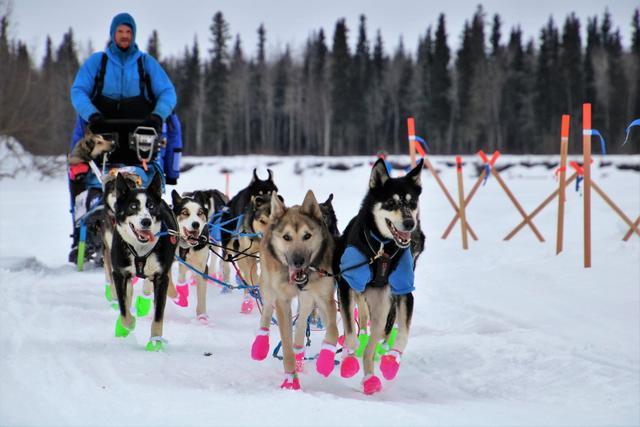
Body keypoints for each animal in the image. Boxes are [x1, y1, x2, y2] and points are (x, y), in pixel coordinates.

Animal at [251, 191, 340, 392]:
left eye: (307, 236)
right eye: (287, 237)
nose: (298, 261)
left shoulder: (324, 297)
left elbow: (333, 330)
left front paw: (326, 360)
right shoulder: (282, 301)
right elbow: (286, 346)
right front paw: (291, 380)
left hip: (308, 299)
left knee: (302, 321)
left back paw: (300, 351)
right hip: (268, 286)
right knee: (267, 309)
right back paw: (260, 344)